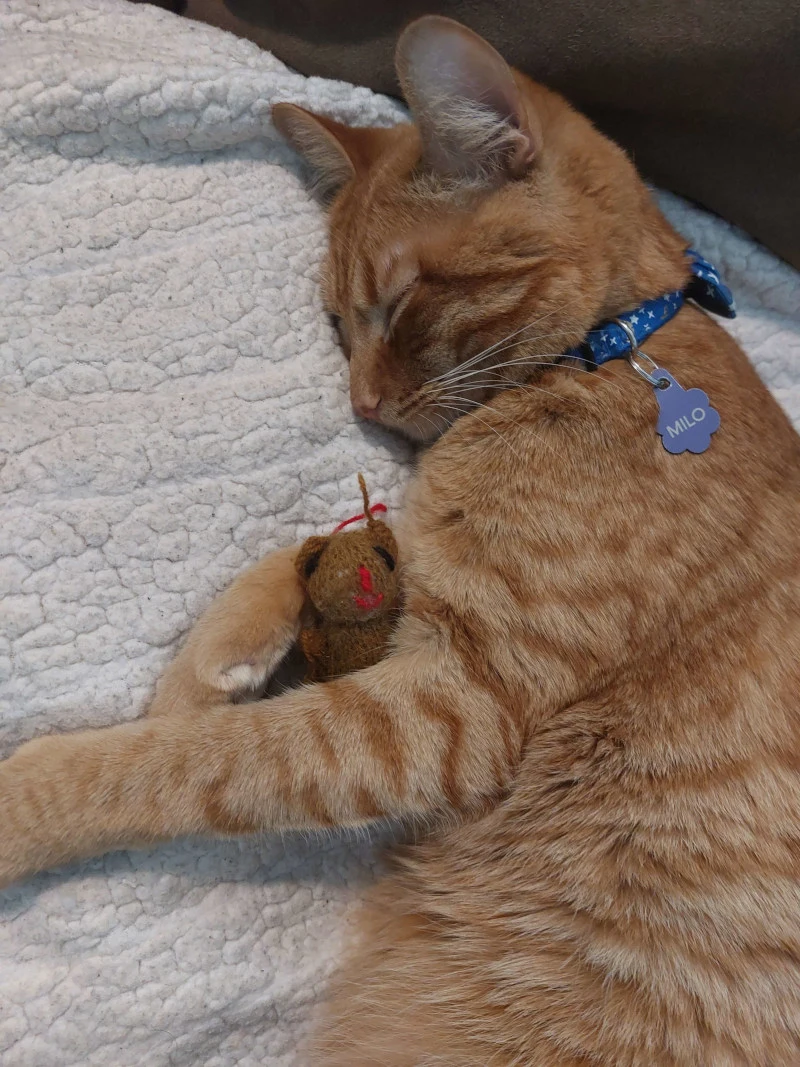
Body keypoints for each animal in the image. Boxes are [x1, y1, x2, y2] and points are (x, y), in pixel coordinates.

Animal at [1, 16, 800, 1067]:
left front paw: (37, 791)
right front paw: (199, 675)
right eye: (339, 323)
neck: (618, 347)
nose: (362, 405)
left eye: (400, 301)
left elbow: (195, 761)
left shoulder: (451, 702)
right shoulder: (423, 582)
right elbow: (309, 554)